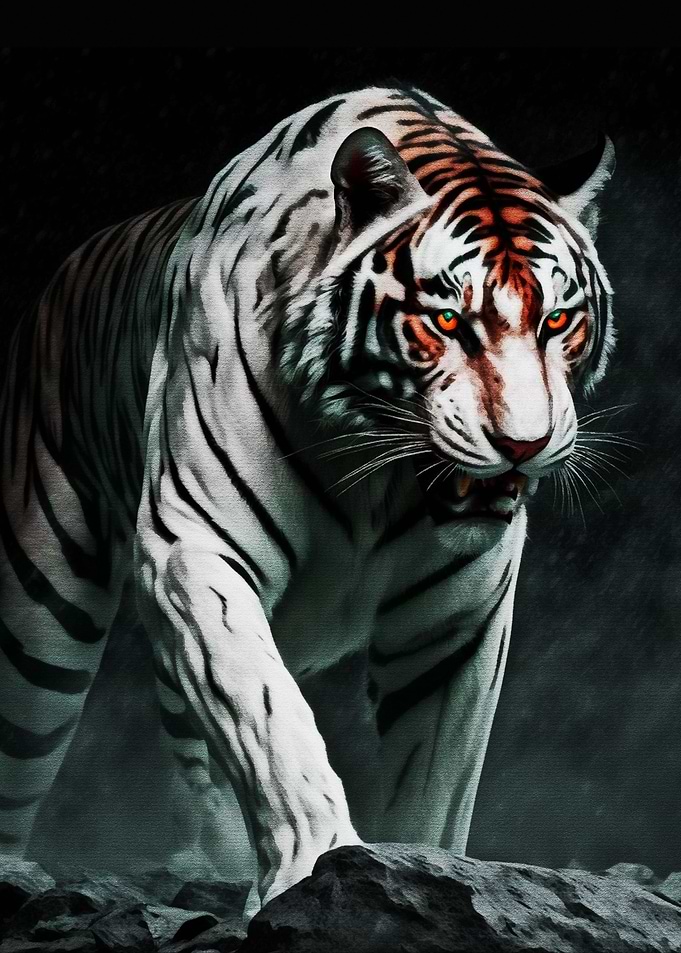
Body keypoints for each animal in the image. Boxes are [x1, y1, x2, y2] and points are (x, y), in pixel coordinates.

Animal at [0, 85, 615, 910]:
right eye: (446, 320)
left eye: (555, 319)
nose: (523, 442)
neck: (377, 477)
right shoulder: (194, 548)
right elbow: (270, 716)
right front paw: (315, 869)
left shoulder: (457, 619)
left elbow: (432, 786)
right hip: (38, 638)